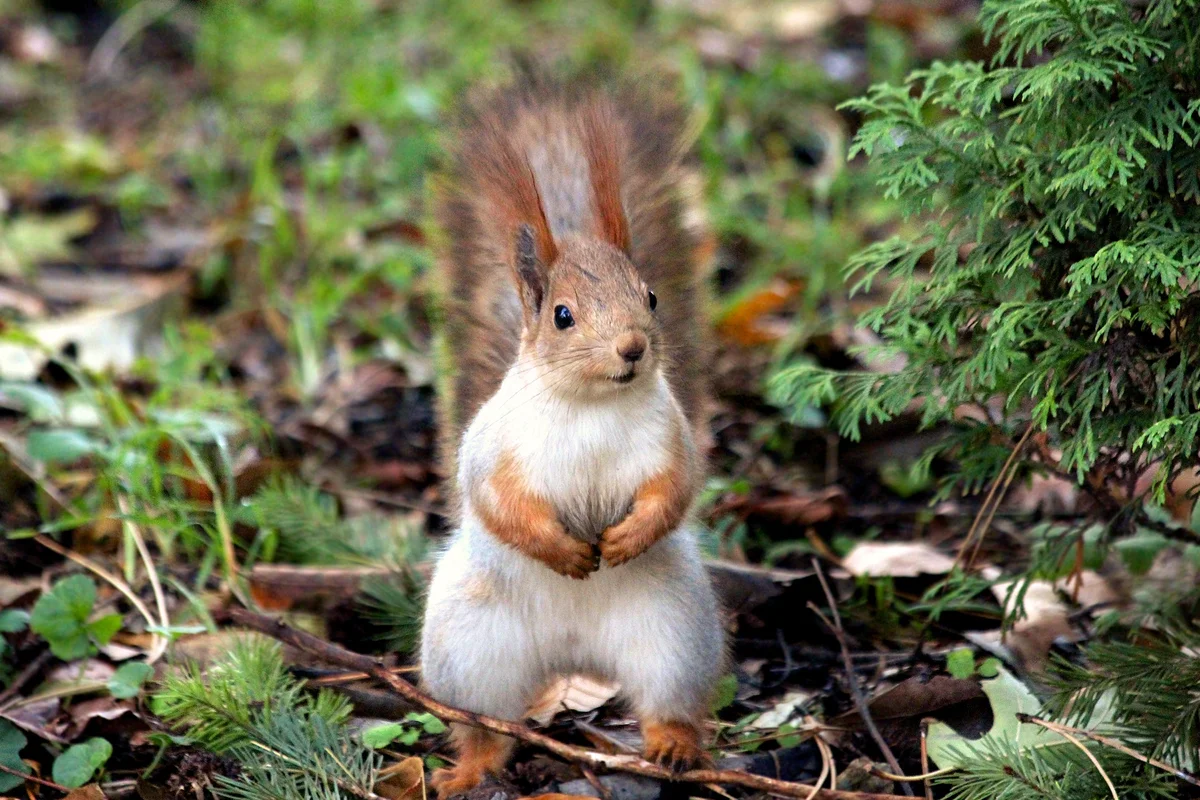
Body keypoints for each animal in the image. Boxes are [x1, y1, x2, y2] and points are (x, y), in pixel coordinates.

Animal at [422, 76, 720, 800]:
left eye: (650, 298)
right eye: (563, 316)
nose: (633, 348)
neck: (592, 406)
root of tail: (573, 653)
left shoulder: (671, 440)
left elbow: (673, 491)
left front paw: (627, 538)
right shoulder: (495, 450)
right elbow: (498, 502)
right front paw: (561, 551)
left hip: (675, 634)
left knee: (669, 701)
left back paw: (673, 746)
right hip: (467, 647)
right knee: (482, 725)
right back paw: (470, 768)